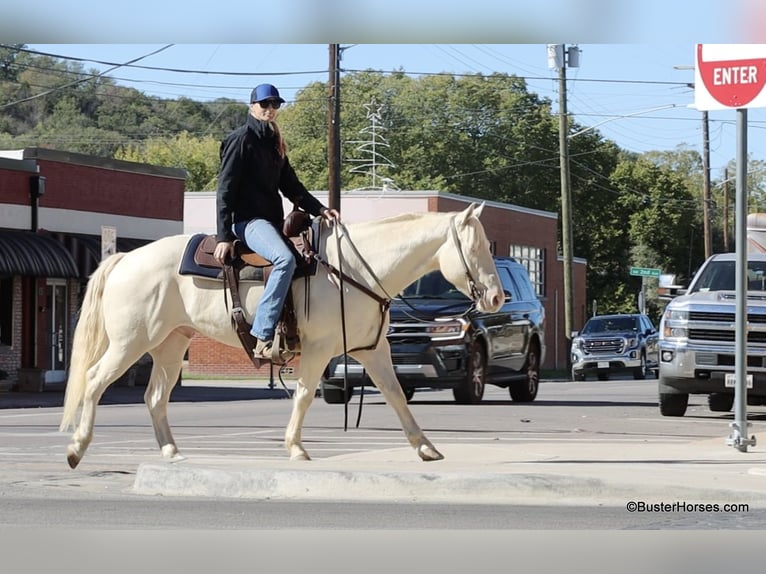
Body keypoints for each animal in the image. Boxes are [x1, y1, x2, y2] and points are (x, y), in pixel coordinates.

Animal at [59, 202, 503, 469]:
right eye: (475, 247)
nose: (498, 296)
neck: (353, 270)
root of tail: (123, 259)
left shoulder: (372, 351)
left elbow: (396, 396)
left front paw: (426, 447)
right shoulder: (320, 350)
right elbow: (305, 395)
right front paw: (296, 447)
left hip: (171, 343)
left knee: (154, 397)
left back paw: (172, 452)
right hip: (130, 343)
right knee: (94, 381)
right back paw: (76, 449)